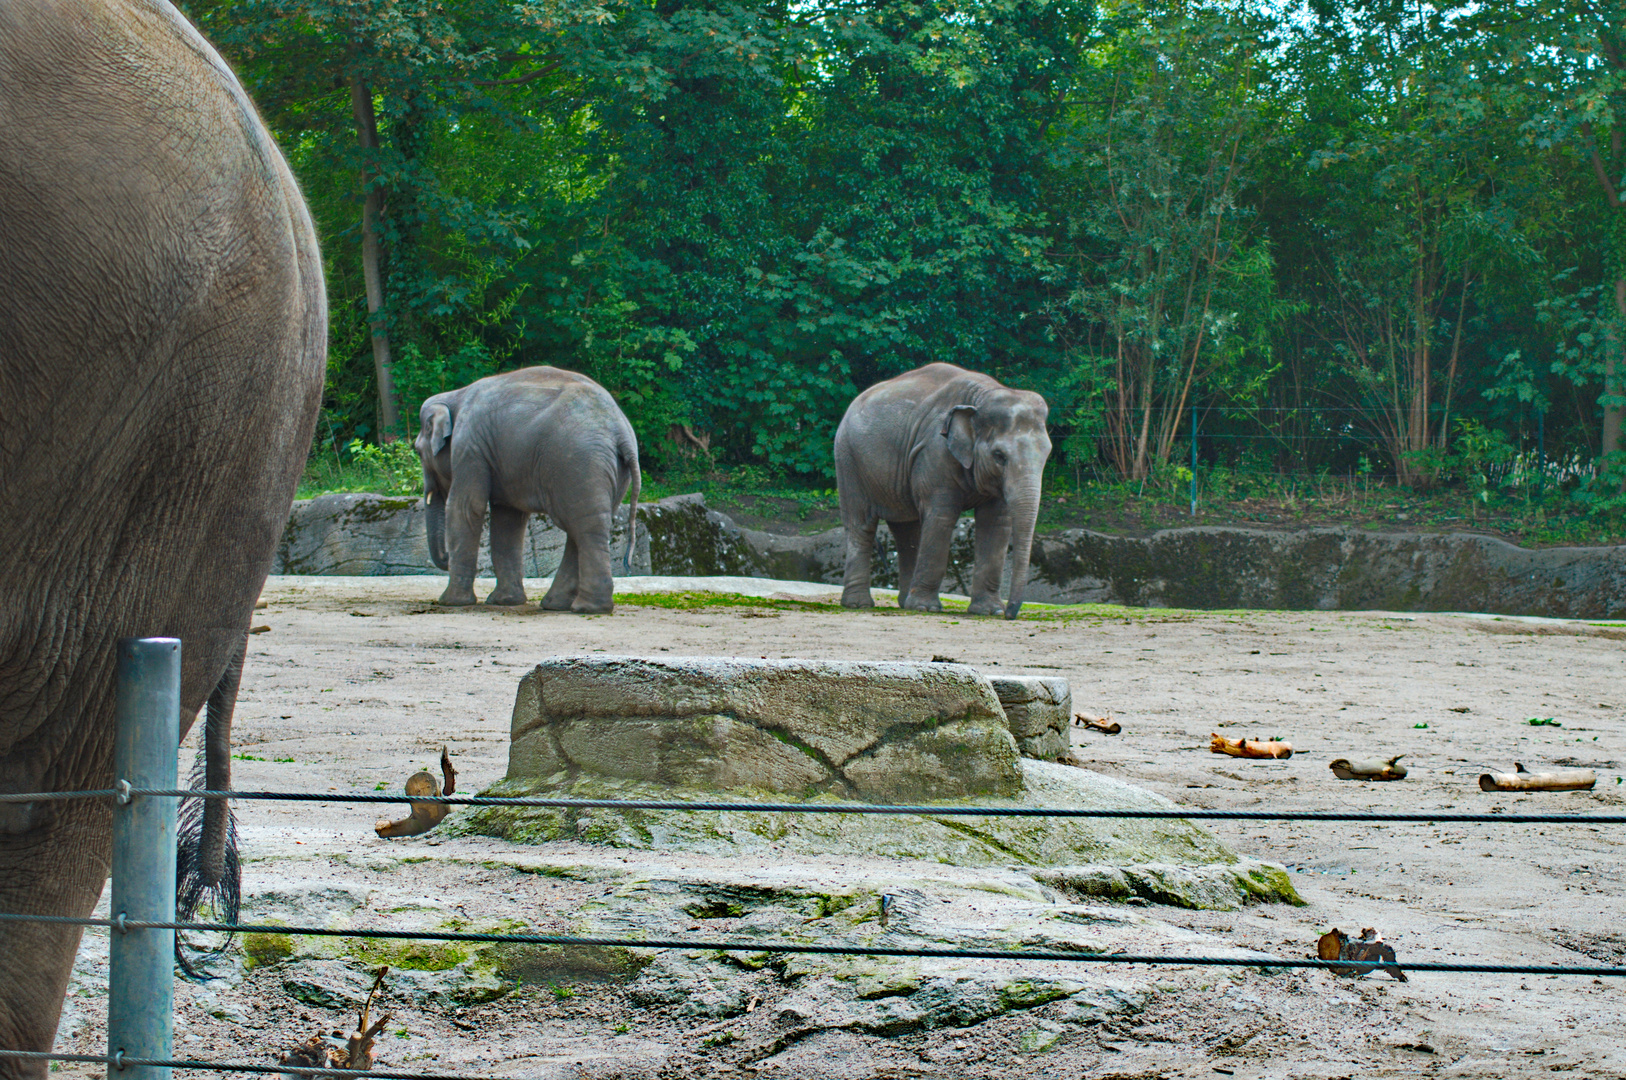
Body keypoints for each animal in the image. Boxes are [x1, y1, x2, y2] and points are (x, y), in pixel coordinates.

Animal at [413, 367, 640, 611]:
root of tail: (621, 432)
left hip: (579, 462)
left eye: (417, 451)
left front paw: (451, 602)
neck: (454, 395)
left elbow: (466, 507)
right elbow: (507, 519)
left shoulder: (469, 446)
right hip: (607, 471)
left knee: (585, 527)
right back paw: (559, 605)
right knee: (582, 527)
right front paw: (504, 602)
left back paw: (586, 608)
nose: (445, 558)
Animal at [839, 362, 1053, 614]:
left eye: (1047, 454)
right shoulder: (934, 453)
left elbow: (996, 522)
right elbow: (942, 517)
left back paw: (905, 603)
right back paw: (859, 604)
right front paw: (926, 608)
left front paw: (990, 611)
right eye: (999, 456)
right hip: (849, 461)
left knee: (906, 531)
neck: (982, 396)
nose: (1010, 614)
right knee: (861, 525)